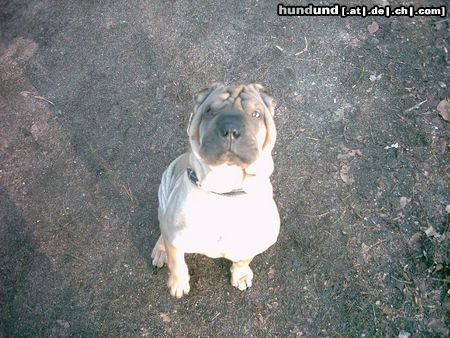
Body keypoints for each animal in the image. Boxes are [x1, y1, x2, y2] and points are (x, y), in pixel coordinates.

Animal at [151, 83, 278, 298]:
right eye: (209, 111)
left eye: (256, 114)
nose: (230, 129)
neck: (224, 190)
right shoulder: (175, 236)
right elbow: (177, 263)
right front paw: (178, 283)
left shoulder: (254, 241)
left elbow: (244, 258)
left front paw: (241, 275)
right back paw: (160, 250)